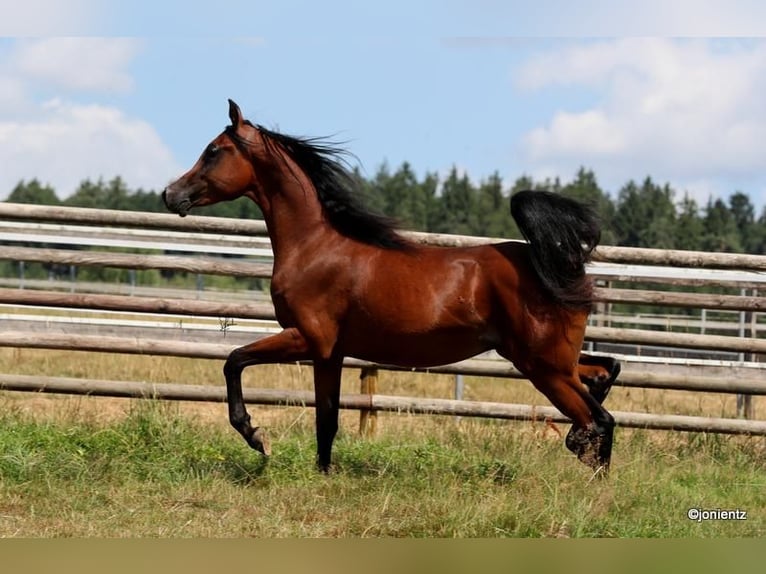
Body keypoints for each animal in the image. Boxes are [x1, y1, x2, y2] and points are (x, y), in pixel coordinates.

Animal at [163, 100, 620, 474]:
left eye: (213, 150)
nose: (170, 194)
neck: (316, 246)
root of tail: (563, 269)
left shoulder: (307, 338)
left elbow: (234, 360)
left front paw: (257, 437)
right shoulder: (329, 353)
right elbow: (326, 418)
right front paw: (322, 474)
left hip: (543, 366)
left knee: (599, 419)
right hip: (549, 360)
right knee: (605, 372)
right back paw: (580, 444)